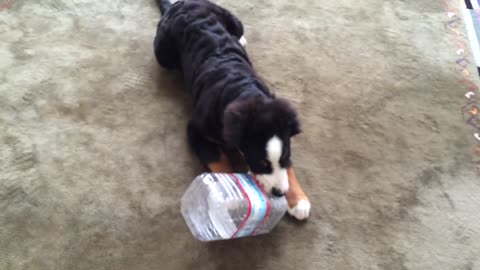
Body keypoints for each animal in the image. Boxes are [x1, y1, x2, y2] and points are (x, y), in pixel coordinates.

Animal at [154, 0, 312, 219]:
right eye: (262, 163)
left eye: (284, 157)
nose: (280, 193)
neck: (243, 91)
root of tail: (178, 4)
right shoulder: (196, 129)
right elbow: (218, 160)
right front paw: (230, 191)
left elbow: (289, 167)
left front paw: (298, 200)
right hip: (162, 53)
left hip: (234, 21)